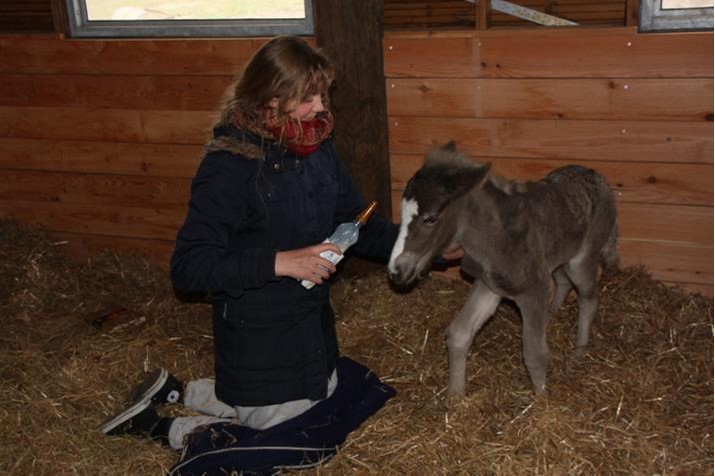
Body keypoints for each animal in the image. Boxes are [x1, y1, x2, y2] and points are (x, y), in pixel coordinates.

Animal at [388, 142, 620, 398]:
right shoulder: (489, 286)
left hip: (581, 259)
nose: (396, 271)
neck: (496, 237)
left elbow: (535, 354)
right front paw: (455, 398)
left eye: (430, 218)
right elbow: (459, 334)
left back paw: (579, 352)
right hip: (559, 253)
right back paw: (552, 313)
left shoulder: (533, 291)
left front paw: (543, 402)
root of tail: (596, 174)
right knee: (562, 280)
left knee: (589, 297)